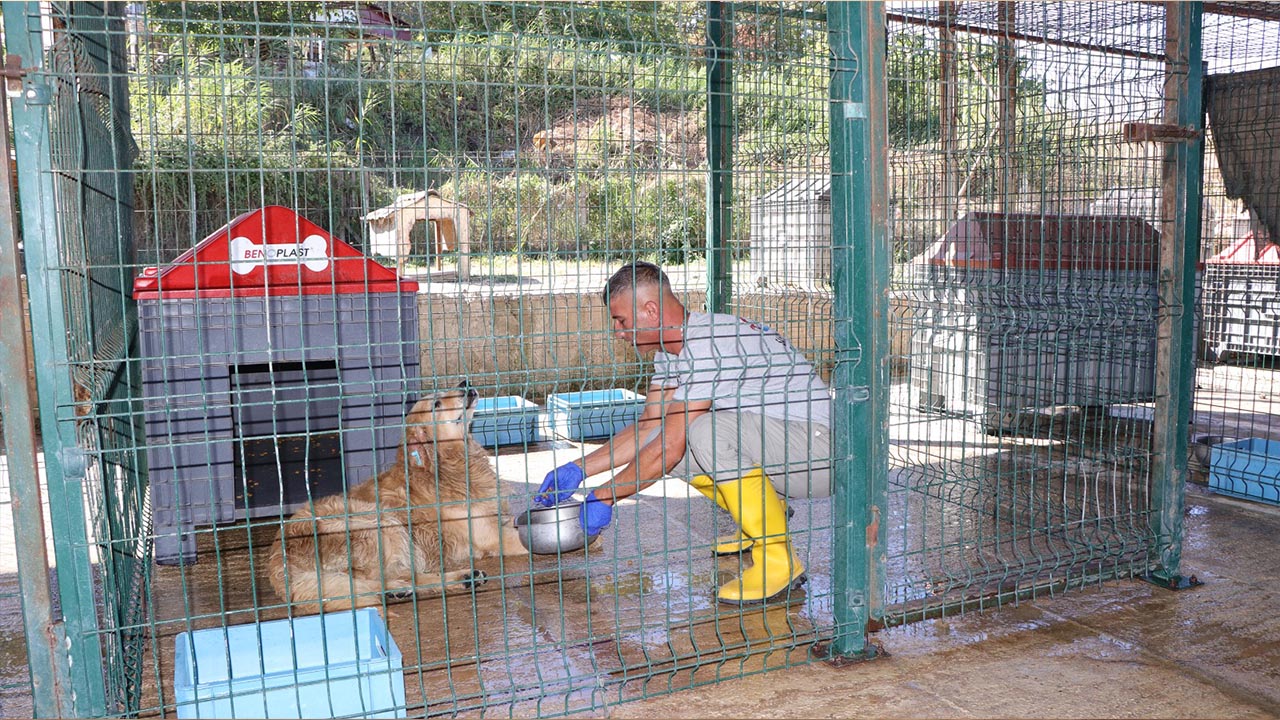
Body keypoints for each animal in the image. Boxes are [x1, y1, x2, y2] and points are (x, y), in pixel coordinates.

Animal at [267, 381, 527, 609]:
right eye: (436, 404)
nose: (465, 383)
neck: (448, 465)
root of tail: (280, 562)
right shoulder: (493, 535)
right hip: (381, 523)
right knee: (372, 581)